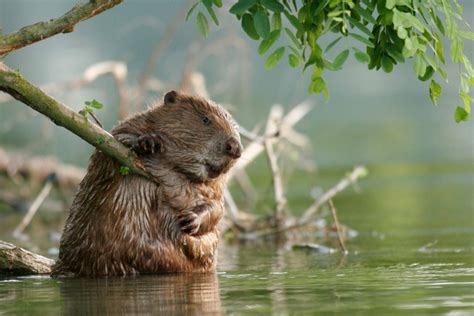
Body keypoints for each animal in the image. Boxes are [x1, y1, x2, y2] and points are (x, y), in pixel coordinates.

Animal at [52, 90, 241, 276]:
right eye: (205, 119)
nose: (235, 147)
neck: (179, 172)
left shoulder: (216, 188)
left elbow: (216, 209)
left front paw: (190, 220)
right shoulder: (129, 127)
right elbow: (113, 144)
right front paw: (149, 142)